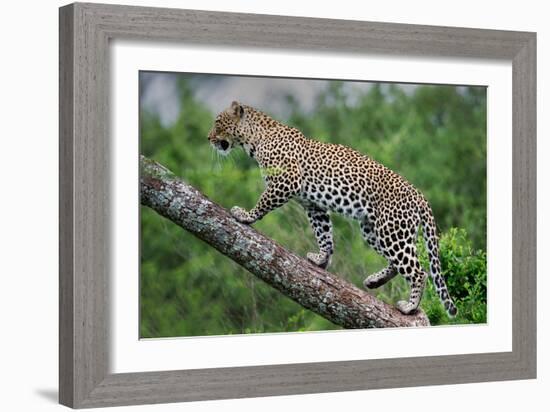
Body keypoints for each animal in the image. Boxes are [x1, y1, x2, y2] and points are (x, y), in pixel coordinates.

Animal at [209, 100, 460, 316]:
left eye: (218, 121)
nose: (208, 137)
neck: (255, 139)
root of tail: (419, 195)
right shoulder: (314, 205)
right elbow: (325, 235)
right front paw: (321, 259)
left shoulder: (287, 181)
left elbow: (262, 203)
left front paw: (245, 216)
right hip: (374, 230)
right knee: (397, 263)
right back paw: (375, 281)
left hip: (392, 231)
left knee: (419, 271)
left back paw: (410, 306)